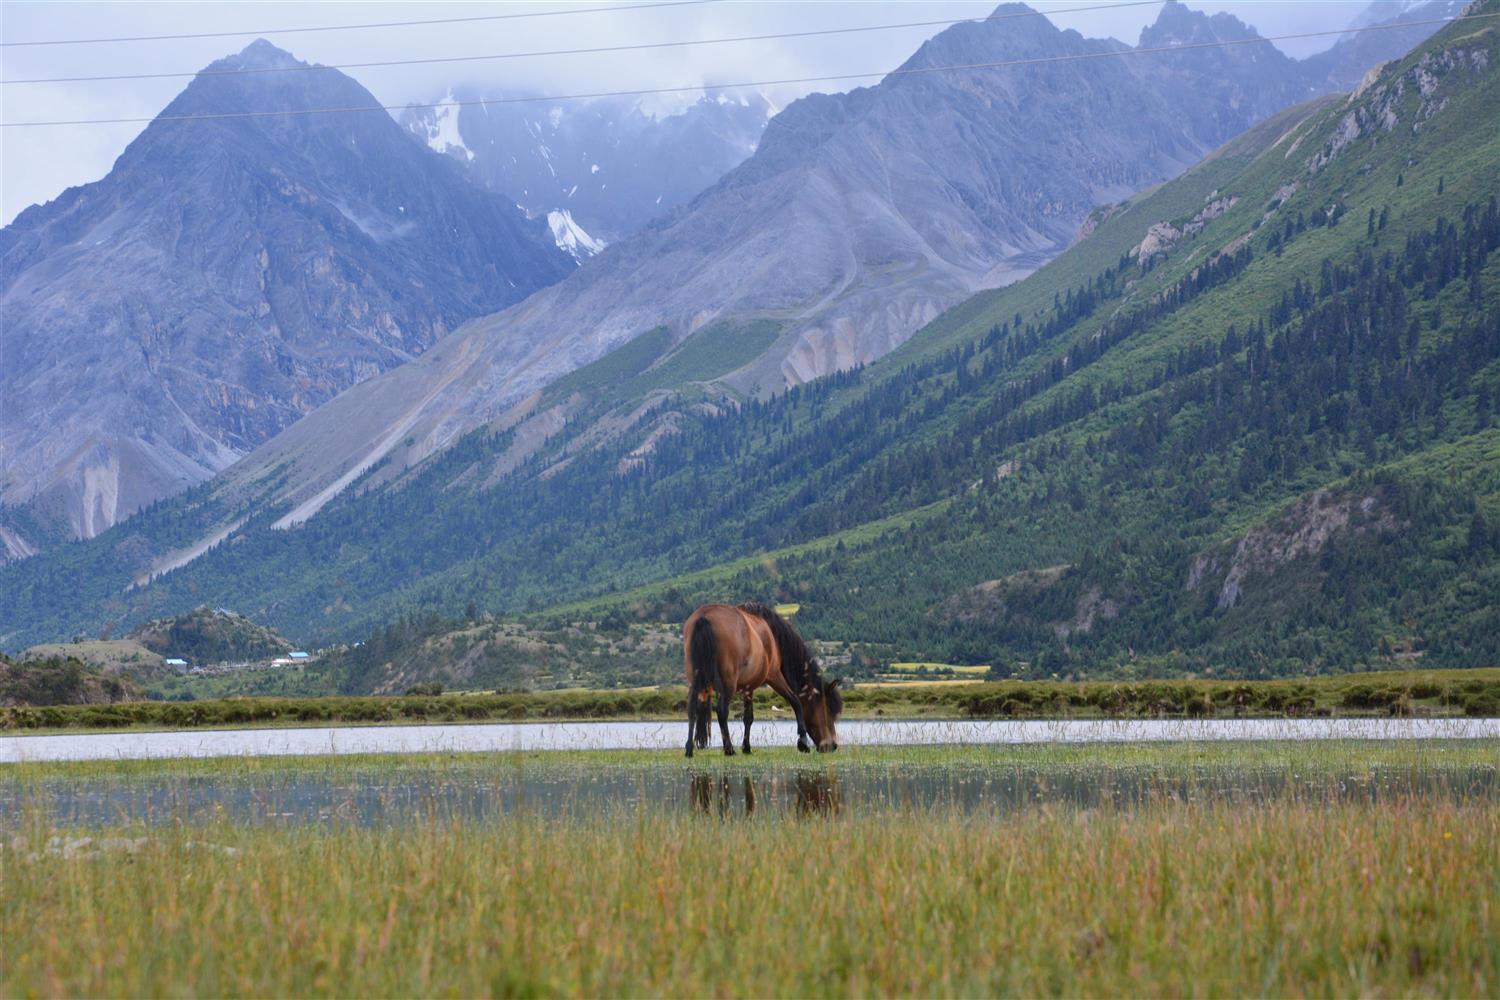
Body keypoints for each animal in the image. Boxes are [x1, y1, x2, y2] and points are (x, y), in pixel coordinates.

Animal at [684, 602, 846, 758]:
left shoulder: (748, 687)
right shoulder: (774, 676)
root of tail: (704, 618)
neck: (772, 635)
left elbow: (748, 717)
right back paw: (729, 749)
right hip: (728, 684)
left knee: (692, 709)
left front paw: (747, 748)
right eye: (827, 710)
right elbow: (795, 702)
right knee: (722, 711)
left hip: (696, 681)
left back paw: (689, 749)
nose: (832, 746)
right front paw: (803, 742)